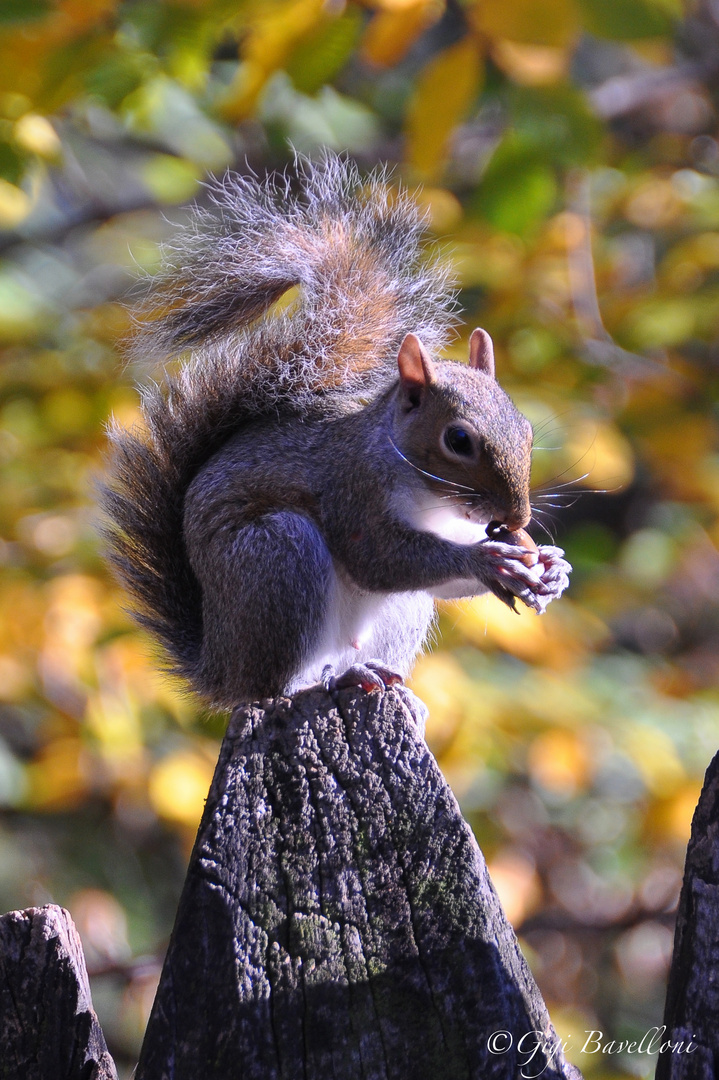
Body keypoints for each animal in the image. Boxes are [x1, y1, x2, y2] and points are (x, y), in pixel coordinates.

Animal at [102, 152, 570, 708]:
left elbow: (439, 580)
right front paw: (486, 561)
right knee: (273, 687)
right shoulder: (352, 489)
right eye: (458, 441)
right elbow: (378, 559)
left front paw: (551, 566)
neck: (423, 488)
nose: (518, 516)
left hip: (388, 610)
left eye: (526, 430)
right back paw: (318, 682)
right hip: (279, 560)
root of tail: (220, 668)